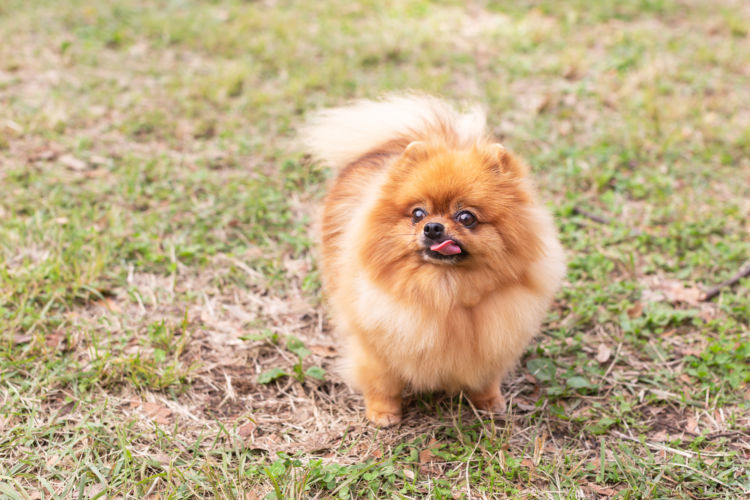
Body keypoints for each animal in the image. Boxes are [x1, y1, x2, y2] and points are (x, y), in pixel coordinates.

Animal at [302, 94, 568, 426]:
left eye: (466, 217)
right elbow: (382, 383)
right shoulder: (377, 344)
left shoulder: (494, 339)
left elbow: (485, 377)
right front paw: (383, 413)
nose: (432, 227)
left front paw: (488, 401)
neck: (444, 291)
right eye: (418, 214)